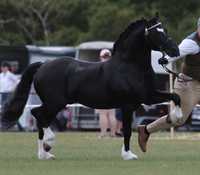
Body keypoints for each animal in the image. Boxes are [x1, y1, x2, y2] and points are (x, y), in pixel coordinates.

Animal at [0, 15, 180, 160]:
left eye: (165, 30)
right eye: (157, 32)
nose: (175, 50)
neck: (129, 66)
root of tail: (42, 65)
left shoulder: (147, 96)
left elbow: (175, 97)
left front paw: (176, 117)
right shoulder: (129, 105)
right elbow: (127, 130)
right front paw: (128, 155)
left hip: (54, 104)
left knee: (40, 117)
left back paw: (44, 153)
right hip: (55, 103)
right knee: (37, 114)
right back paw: (48, 143)